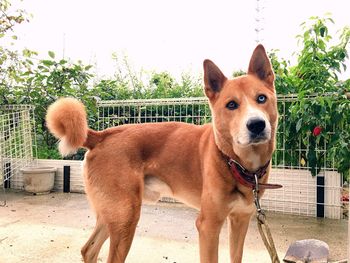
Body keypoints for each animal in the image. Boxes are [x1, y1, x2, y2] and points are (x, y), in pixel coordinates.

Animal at [45, 44, 276, 262]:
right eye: (231, 104)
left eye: (261, 98)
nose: (256, 124)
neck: (234, 162)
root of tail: (101, 135)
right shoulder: (208, 226)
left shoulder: (239, 220)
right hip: (125, 218)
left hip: (112, 214)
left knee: (88, 250)